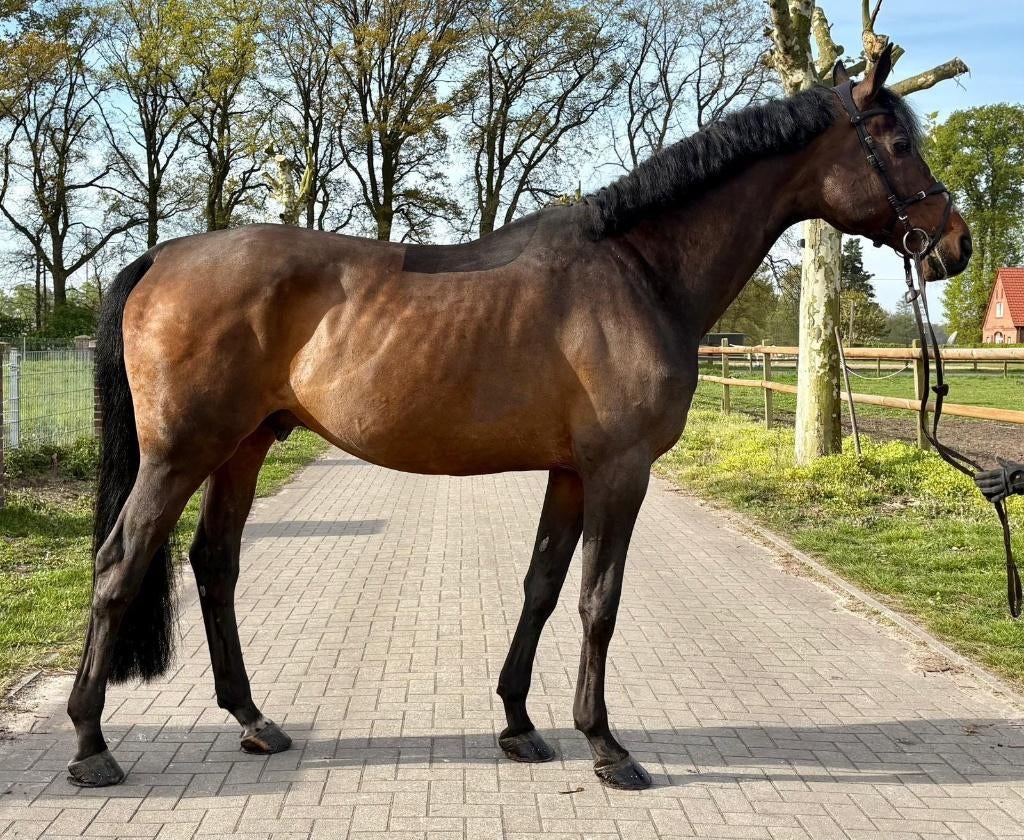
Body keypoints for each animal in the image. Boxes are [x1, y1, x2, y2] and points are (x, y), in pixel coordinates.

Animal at [67, 47, 971, 789]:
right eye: (894, 144)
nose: (954, 244)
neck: (638, 272)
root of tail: (164, 255)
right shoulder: (620, 471)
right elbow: (599, 600)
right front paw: (605, 745)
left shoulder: (571, 471)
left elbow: (541, 586)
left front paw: (518, 724)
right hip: (181, 453)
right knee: (118, 563)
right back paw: (90, 744)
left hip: (245, 446)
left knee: (214, 565)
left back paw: (254, 721)